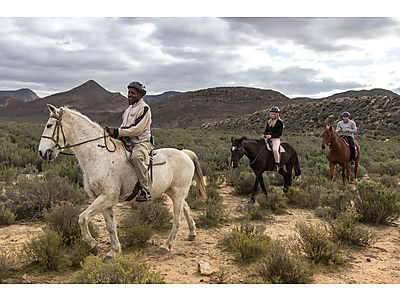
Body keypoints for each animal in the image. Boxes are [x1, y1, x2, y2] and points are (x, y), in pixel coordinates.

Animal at [38, 104, 206, 258]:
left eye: (49, 125)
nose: (42, 152)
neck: (99, 155)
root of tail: (185, 153)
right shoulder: (103, 200)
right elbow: (110, 225)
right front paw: (114, 251)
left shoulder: (107, 198)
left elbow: (82, 218)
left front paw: (92, 244)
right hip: (173, 192)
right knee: (186, 208)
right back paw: (192, 233)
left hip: (178, 193)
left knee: (177, 219)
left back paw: (166, 246)